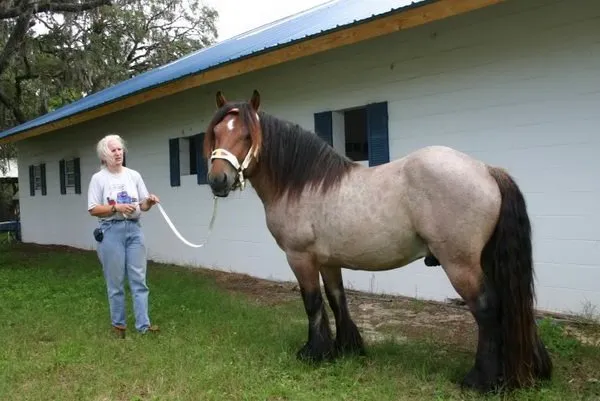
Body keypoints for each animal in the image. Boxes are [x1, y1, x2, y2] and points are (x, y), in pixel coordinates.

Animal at [203, 89, 552, 392]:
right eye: (216, 132)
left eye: (247, 135)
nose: (218, 180)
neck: (302, 184)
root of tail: (486, 170)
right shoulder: (328, 261)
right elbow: (337, 298)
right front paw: (346, 348)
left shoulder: (300, 257)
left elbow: (312, 302)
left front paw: (313, 352)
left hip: (460, 264)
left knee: (487, 309)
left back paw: (481, 379)